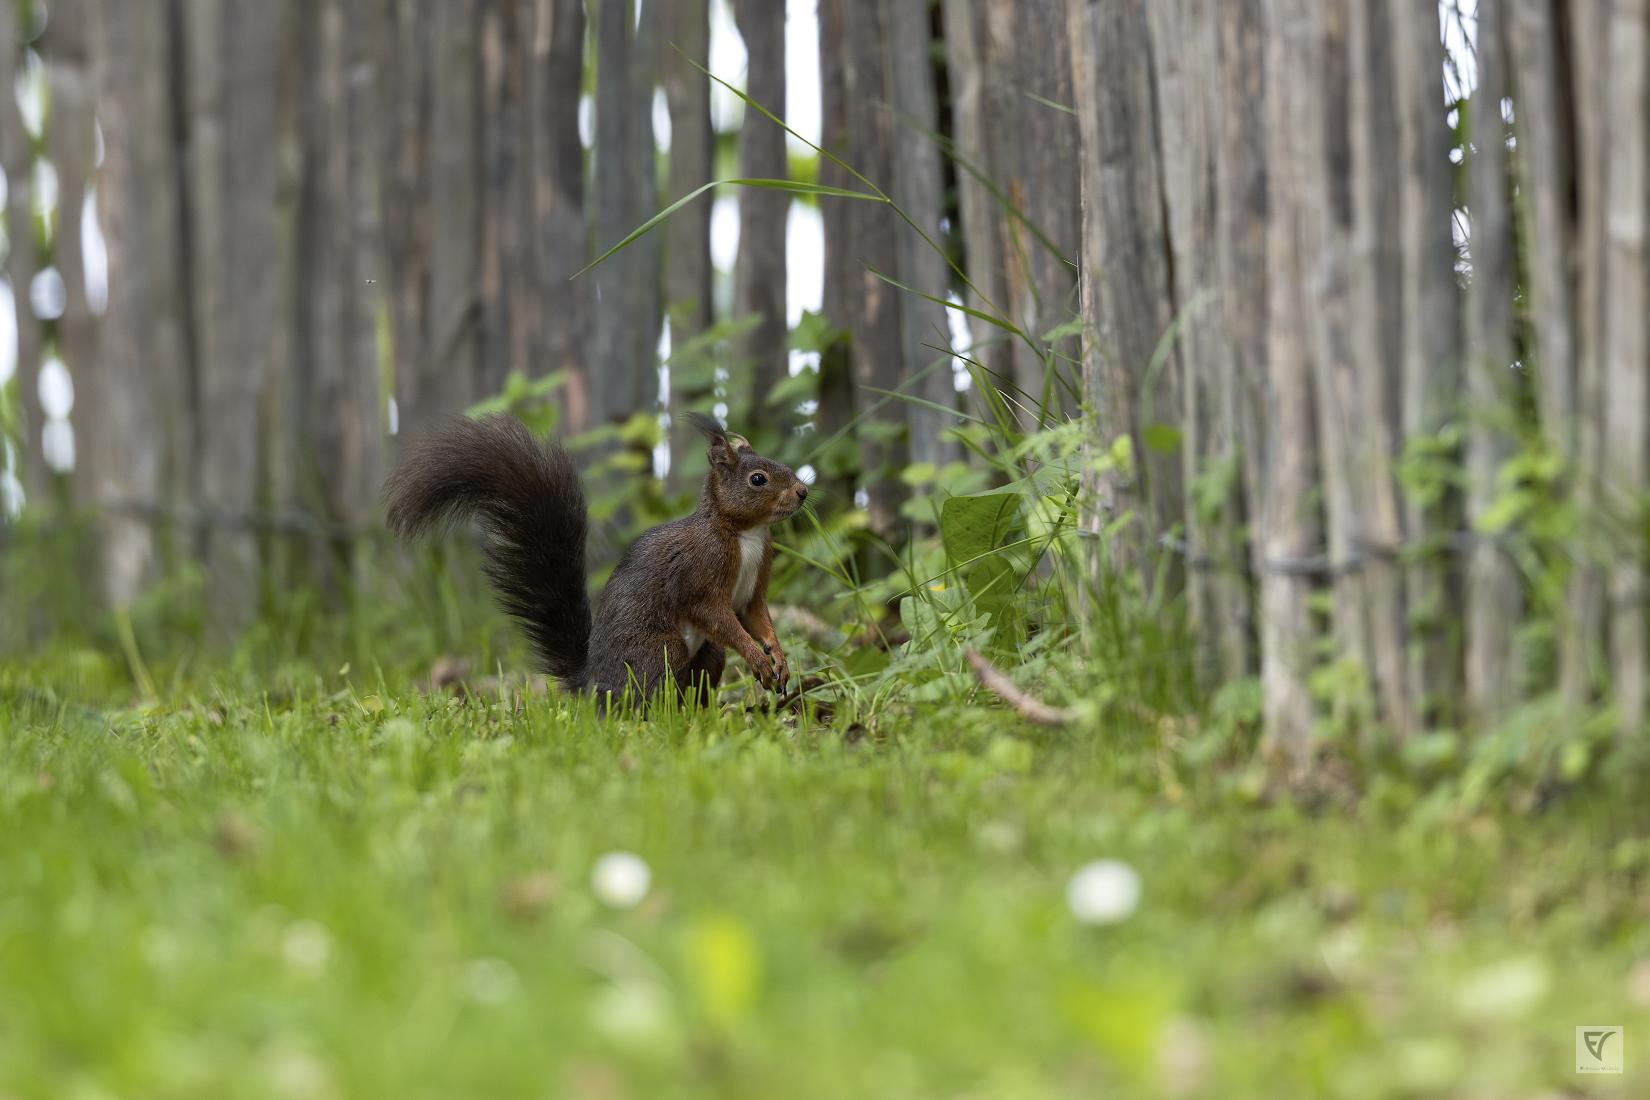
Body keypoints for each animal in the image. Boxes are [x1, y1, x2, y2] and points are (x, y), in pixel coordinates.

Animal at [381, 412, 805, 705]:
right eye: (758, 479)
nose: (802, 492)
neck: (746, 534)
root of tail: (595, 686)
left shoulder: (755, 584)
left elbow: (756, 616)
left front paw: (778, 657)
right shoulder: (698, 571)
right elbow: (716, 615)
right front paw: (757, 657)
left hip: (705, 657)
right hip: (660, 651)